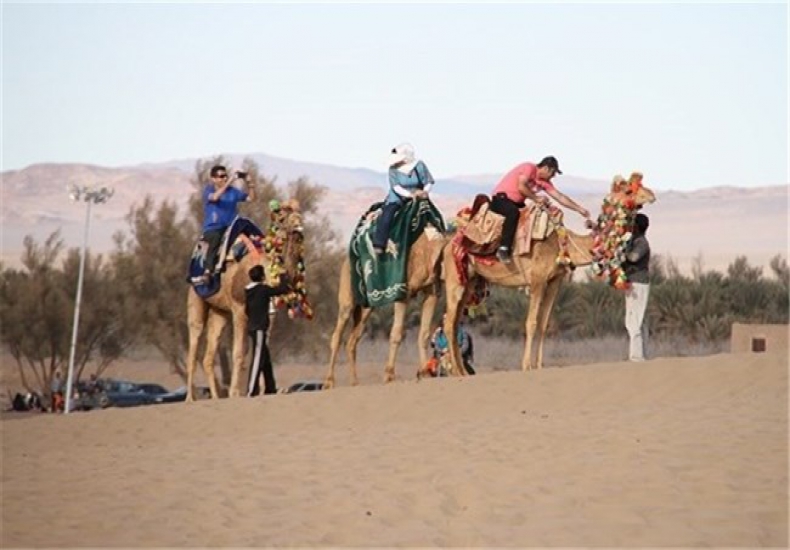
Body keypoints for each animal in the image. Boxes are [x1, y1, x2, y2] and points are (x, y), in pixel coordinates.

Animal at [185, 201, 310, 404]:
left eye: (299, 213)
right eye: (282, 217)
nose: (298, 223)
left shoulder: (269, 314)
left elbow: (262, 350)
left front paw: (263, 391)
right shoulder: (239, 309)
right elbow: (238, 353)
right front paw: (235, 393)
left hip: (219, 312)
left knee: (208, 356)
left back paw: (216, 397)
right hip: (196, 299)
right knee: (193, 345)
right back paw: (190, 398)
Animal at [324, 199, 448, 388]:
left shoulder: (431, 291)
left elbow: (424, 334)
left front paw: (425, 372)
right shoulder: (402, 292)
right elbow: (396, 333)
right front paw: (389, 375)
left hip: (367, 305)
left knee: (353, 340)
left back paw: (354, 382)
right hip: (347, 295)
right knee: (337, 335)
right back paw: (329, 381)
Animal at [446, 175, 656, 378]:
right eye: (629, 190)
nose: (651, 195)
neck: (563, 244)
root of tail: (452, 240)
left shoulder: (555, 281)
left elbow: (544, 324)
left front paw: (539, 365)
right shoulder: (537, 279)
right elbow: (531, 322)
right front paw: (526, 366)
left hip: (470, 281)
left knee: (455, 322)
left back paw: (462, 371)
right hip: (454, 278)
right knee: (449, 323)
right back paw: (456, 372)